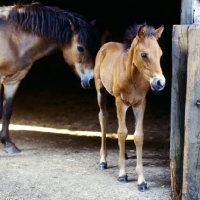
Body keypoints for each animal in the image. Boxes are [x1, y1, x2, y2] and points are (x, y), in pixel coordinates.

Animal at [0, 2, 99, 153]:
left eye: (94, 48)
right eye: (80, 48)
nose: (91, 80)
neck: (13, 38)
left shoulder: (13, 81)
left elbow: (7, 111)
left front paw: (8, 144)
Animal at [94, 22, 165, 191]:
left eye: (160, 54)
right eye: (144, 54)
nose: (160, 83)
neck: (133, 77)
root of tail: (106, 45)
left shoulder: (140, 103)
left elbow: (138, 136)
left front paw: (142, 181)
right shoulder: (121, 101)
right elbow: (122, 133)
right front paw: (122, 174)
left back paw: (124, 154)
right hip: (101, 91)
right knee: (103, 117)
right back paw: (103, 160)